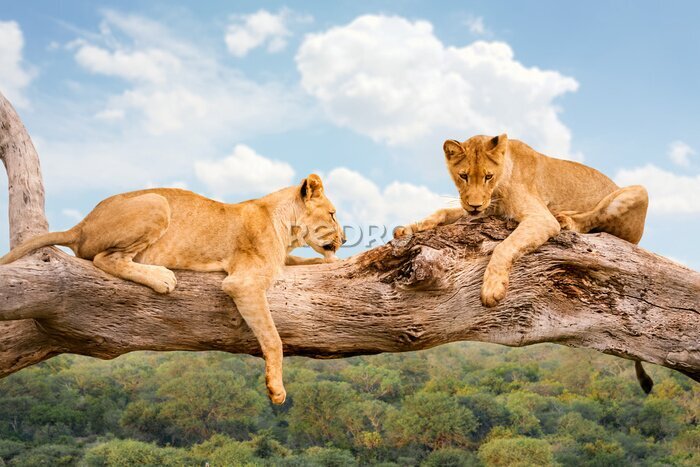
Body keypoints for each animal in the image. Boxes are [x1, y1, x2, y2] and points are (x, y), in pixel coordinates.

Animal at [1, 174, 346, 404]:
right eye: (332, 213)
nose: (344, 238)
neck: (285, 225)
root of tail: (81, 224)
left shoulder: (278, 262)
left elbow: (305, 261)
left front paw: (334, 261)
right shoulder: (242, 282)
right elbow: (273, 339)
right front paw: (276, 389)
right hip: (156, 203)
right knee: (105, 258)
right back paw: (161, 278)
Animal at [396, 136, 652, 394]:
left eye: (488, 176)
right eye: (464, 176)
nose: (475, 205)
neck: (498, 185)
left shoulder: (539, 218)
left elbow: (504, 247)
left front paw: (492, 289)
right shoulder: (478, 209)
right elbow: (442, 212)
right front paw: (408, 229)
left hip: (639, 191)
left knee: (587, 220)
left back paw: (565, 218)